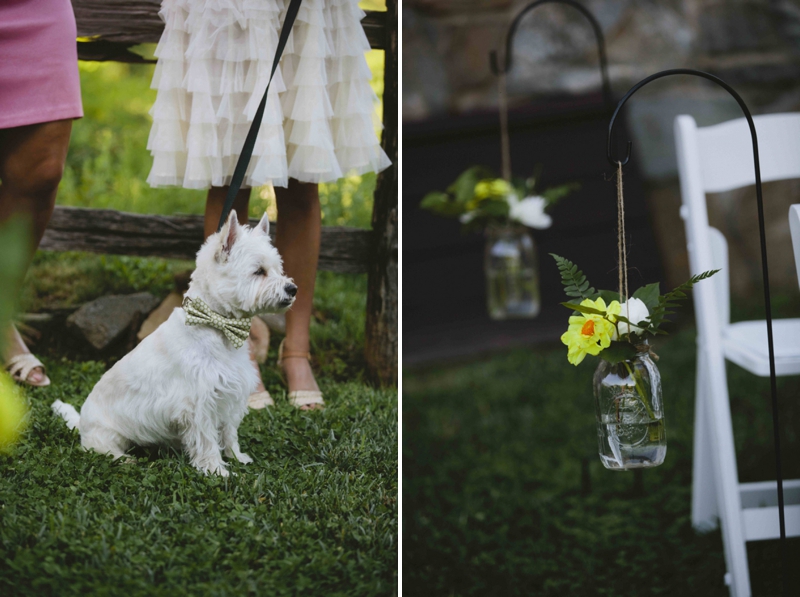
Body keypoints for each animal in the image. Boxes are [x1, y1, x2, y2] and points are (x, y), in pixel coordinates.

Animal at [53, 210, 296, 474]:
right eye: (258, 271)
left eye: (278, 268)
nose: (292, 288)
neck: (218, 327)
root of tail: (81, 422)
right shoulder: (199, 403)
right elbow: (207, 439)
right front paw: (216, 470)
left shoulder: (230, 396)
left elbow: (229, 432)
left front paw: (237, 457)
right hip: (106, 432)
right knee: (101, 448)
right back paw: (126, 459)